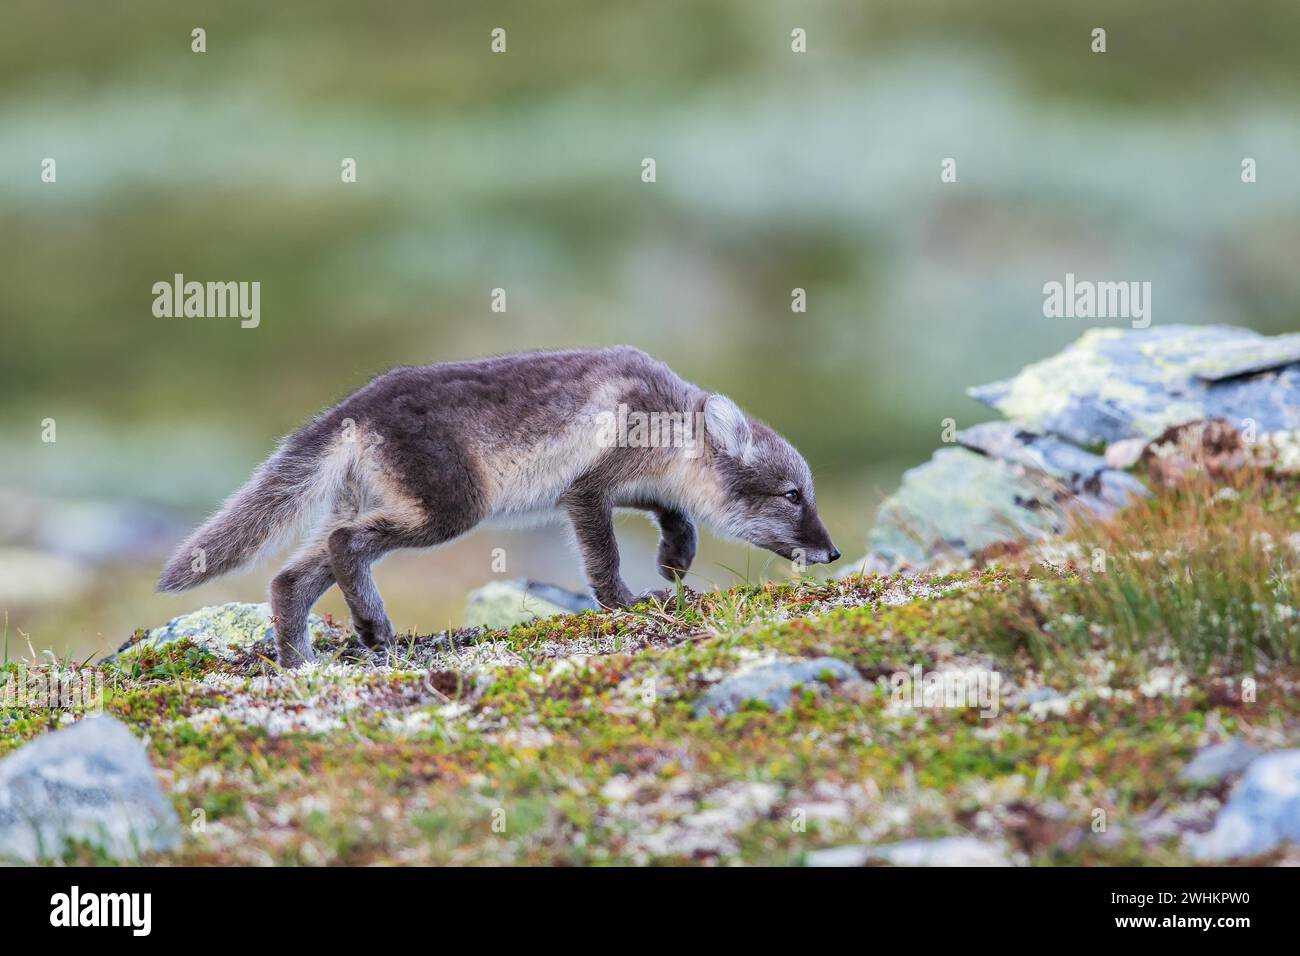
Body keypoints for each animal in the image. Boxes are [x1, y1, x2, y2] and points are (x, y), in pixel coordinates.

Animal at [157, 348, 842, 671]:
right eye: (793, 495)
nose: (833, 551)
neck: (670, 417)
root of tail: (350, 408)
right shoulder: (586, 489)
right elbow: (603, 556)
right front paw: (626, 602)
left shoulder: (631, 484)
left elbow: (675, 511)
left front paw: (676, 558)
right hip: (448, 510)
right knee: (346, 544)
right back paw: (374, 629)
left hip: (370, 506)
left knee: (291, 575)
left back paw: (300, 661)